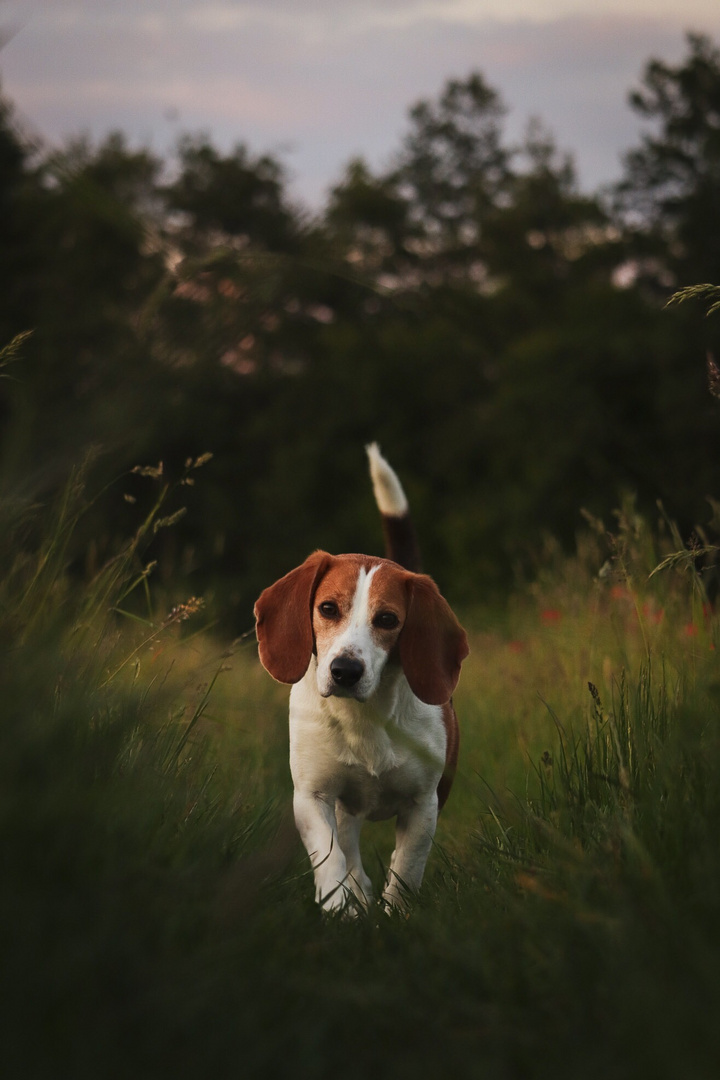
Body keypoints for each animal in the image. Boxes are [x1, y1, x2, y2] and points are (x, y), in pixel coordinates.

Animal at [253, 442, 468, 907]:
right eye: (328, 608)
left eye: (387, 619)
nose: (345, 671)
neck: (364, 717)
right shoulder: (313, 796)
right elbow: (332, 862)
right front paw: (341, 909)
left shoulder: (424, 804)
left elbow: (405, 871)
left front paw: (395, 914)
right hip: (343, 807)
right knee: (349, 849)